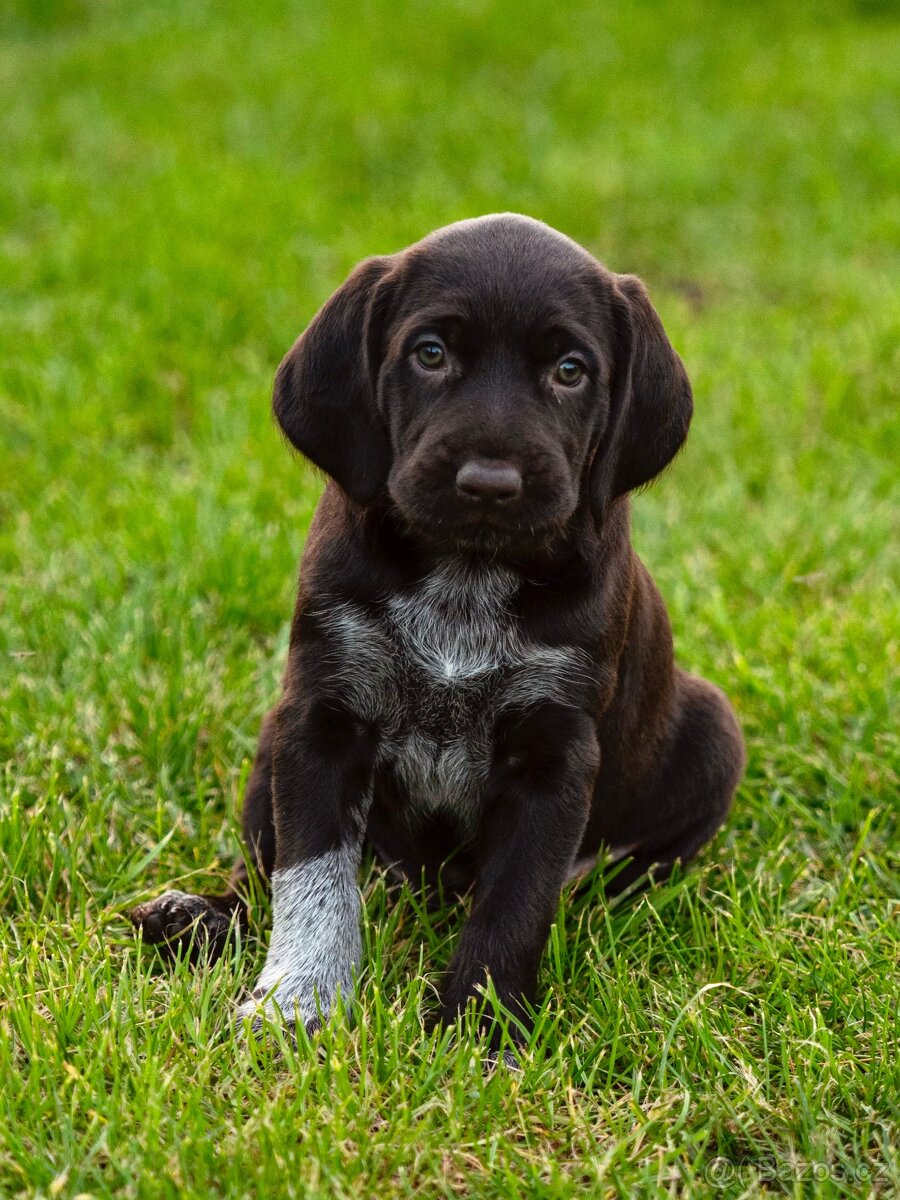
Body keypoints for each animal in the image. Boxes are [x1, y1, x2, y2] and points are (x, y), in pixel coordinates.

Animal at [130, 216, 744, 1051]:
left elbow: (516, 899)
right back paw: (201, 917)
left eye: (571, 370)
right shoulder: (320, 720)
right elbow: (310, 878)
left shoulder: (554, 754)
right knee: (262, 867)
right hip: (271, 738)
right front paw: (299, 999)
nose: (489, 484)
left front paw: (482, 1027)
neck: (466, 575)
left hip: (713, 733)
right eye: (430, 353)